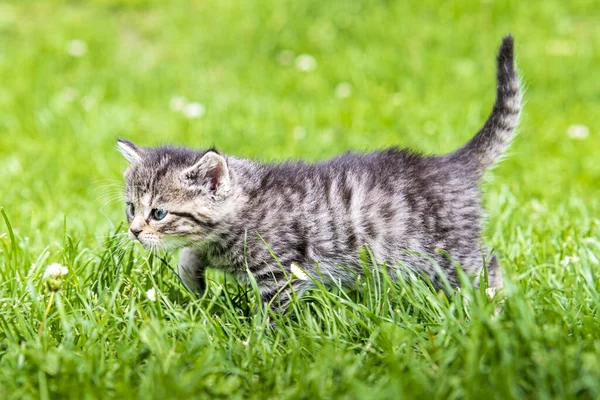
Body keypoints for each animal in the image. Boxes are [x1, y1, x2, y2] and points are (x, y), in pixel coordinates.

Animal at [117, 35, 520, 312]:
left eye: (159, 213)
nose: (134, 231)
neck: (246, 207)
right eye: (131, 208)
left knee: (488, 264)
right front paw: (193, 283)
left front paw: (259, 345)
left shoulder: (280, 274)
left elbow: (272, 314)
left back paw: (492, 306)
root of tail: (449, 163)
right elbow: (190, 255)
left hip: (448, 253)